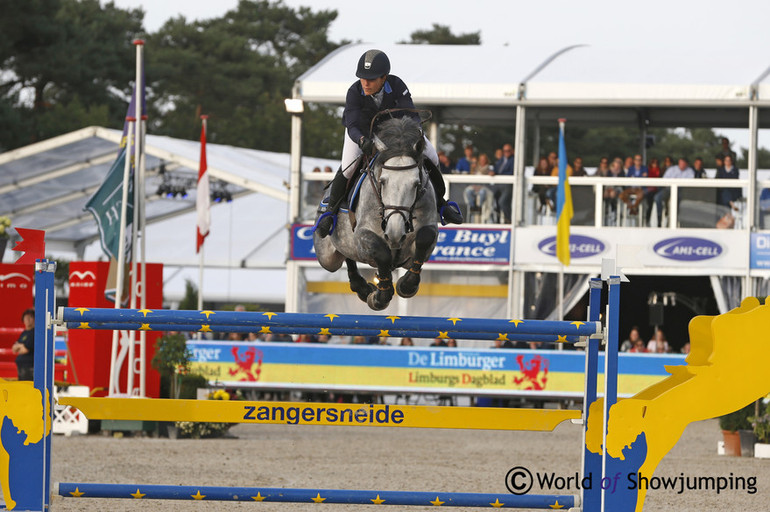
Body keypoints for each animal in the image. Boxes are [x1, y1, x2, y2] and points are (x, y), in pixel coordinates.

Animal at [312, 118, 438, 310]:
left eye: (416, 184)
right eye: (382, 181)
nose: (394, 233)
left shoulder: (430, 231)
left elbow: (425, 238)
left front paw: (407, 285)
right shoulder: (362, 236)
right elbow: (381, 252)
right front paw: (381, 296)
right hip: (327, 257)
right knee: (344, 256)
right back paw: (363, 289)